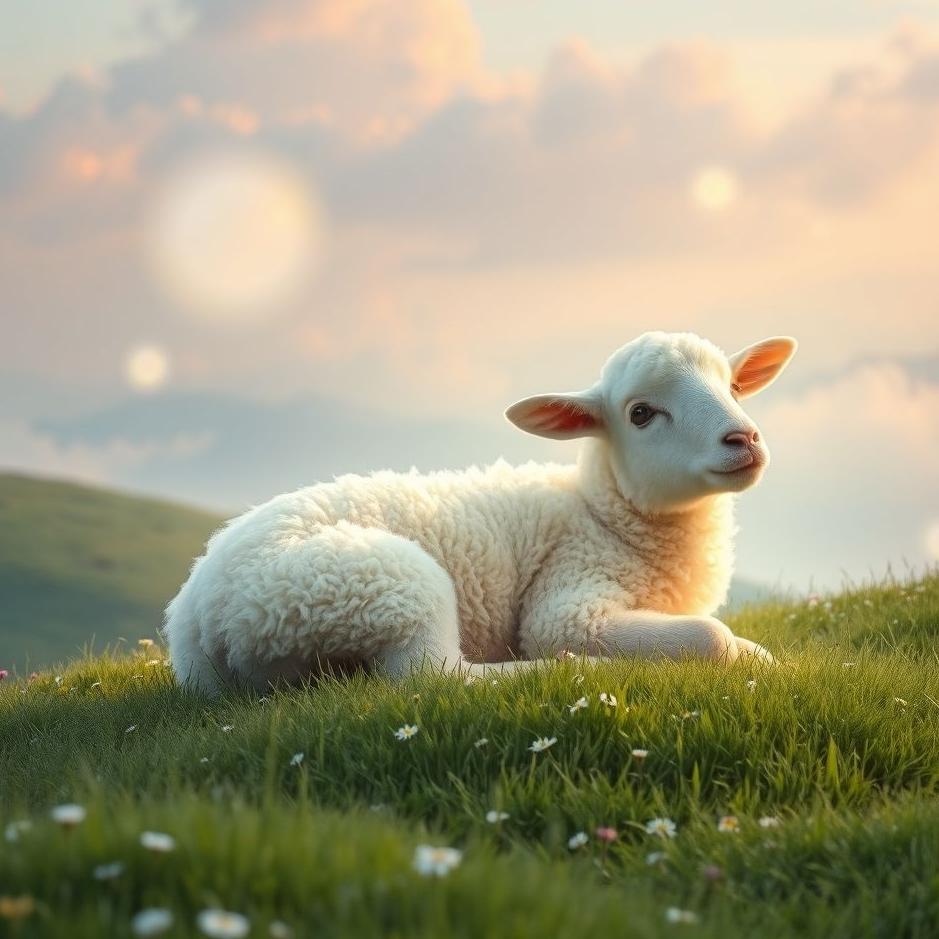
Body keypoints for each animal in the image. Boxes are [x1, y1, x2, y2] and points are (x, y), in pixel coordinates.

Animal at [165, 331, 796, 694]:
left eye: (734, 387)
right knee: (432, 678)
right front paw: (754, 658)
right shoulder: (567, 595)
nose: (743, 438)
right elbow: (710, 636)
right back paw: (572, 670)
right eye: (641, 413)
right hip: (378, 584)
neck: (605, 514)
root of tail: (196, 620)